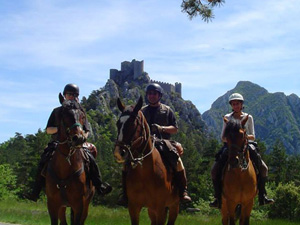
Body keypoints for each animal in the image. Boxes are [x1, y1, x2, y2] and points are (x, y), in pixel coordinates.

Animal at [45, 93, 95, 225]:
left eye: (83, 116)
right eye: (65, 114)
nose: (79, 138)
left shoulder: (79, 205)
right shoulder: (52, 204)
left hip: (86, 203)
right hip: (62, 206)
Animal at [112, 96, 178, 225]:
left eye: (132, 123)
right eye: (118, 123)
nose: (118, 153)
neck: (145, 174)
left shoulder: (160, 209)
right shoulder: (133, 207)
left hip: (173, 207)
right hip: (151, 210)